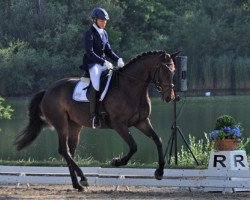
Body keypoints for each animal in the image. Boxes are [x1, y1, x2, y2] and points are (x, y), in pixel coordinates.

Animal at [14, 50, 178, 191]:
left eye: (174, 71)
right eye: (165, 71)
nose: (170, 97)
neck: (130, 88)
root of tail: (47, 91)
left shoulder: (142, 122)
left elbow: (158, 140)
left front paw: (160, 172)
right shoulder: (119, 124)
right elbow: (133, 146)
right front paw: (116, 162)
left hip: (74, 125)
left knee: (70, 152)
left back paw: (78, 185)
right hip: (61, 123)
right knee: (64, 150)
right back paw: (83, 178)